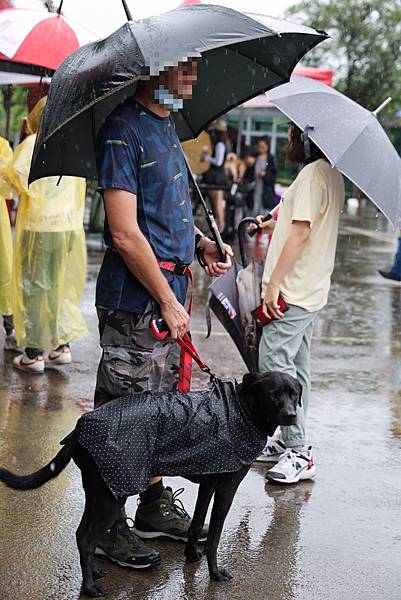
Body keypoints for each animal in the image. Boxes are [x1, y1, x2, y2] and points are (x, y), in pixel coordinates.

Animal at [0, 370, 300, 596]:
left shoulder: (208, 484)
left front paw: (191, 555)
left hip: (99, 491)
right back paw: (90, 588)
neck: (241, 408)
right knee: (86, 538)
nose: (291, 415)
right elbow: (214, 537)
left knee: (82, 534)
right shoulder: (226, 489)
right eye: (274, 394)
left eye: (294, 394)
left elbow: (196, 524)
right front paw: (215, 572)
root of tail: (79, 428)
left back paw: (94, 572)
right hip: (112, 495)